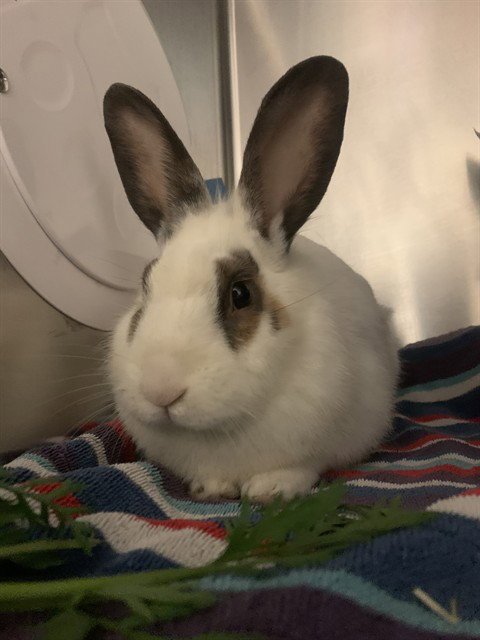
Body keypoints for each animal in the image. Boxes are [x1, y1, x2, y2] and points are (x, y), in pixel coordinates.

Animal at [104, 56, 399, 503]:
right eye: (145, 287)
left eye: (240, 294)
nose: (160, 390)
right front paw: (210, 489)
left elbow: (301, 467)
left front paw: (271, 489)